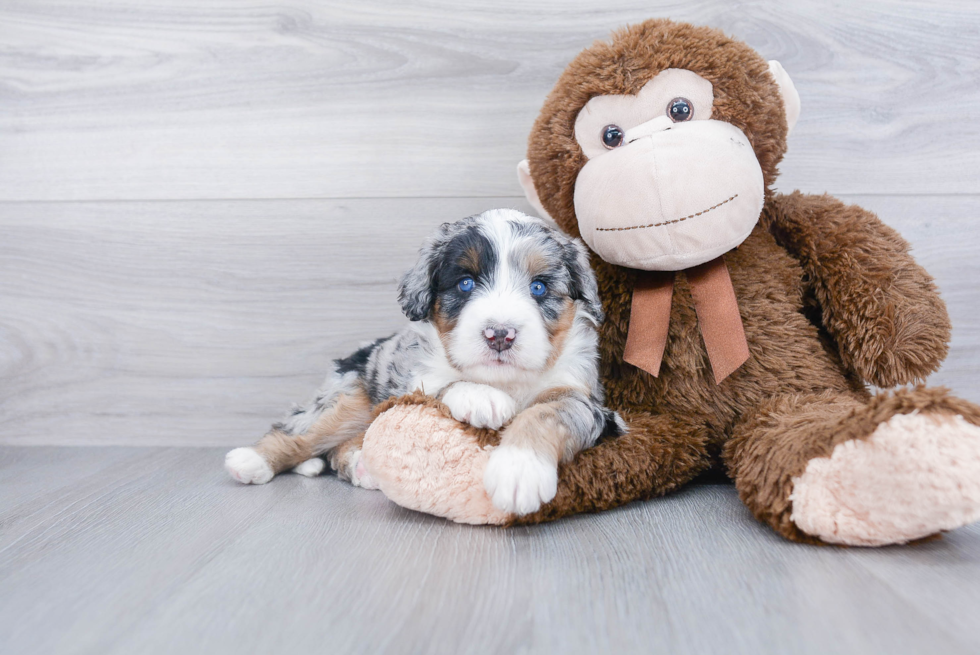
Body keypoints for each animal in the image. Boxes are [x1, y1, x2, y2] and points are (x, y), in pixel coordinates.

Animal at [226, 210, 624, 516]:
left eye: (538, 287)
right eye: (465, 283)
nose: (499, 334)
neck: (504, 380)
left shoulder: (586, 399)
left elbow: (545, 413)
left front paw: (519, 470)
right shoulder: (410, 377)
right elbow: (440, 384)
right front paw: (481, 398)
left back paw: (361, 465)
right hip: (349, 394)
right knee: (302, 430)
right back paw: (251, 460)